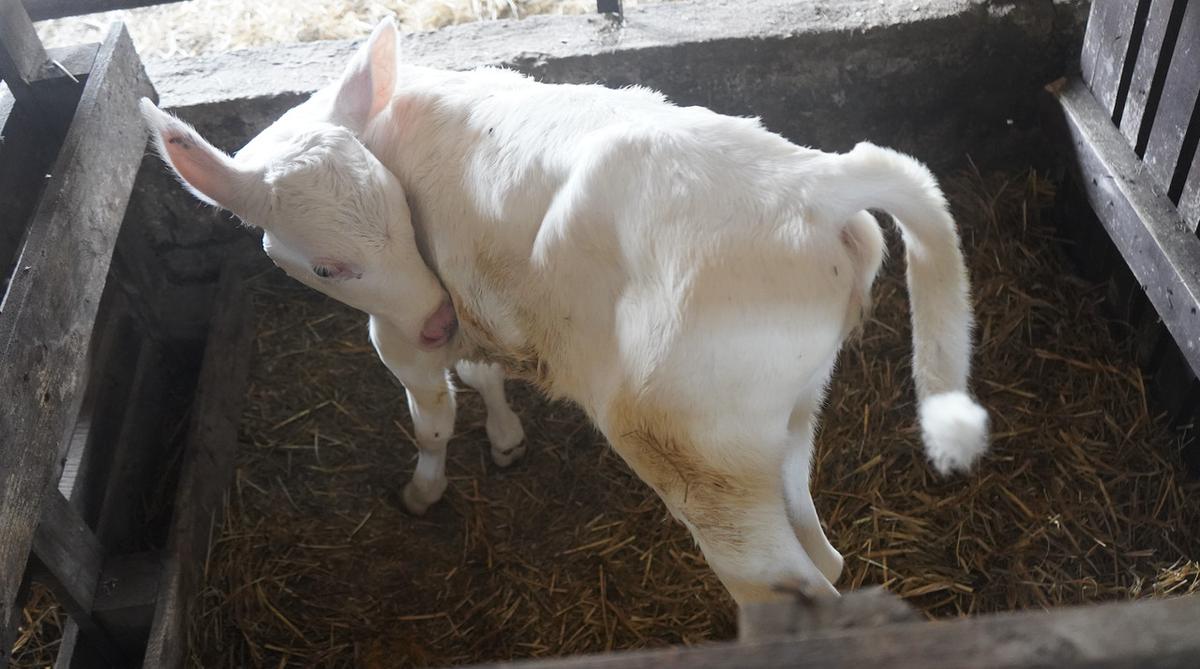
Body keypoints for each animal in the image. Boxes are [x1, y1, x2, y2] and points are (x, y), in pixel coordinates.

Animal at [142, 19, 984, 609]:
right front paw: (507, 437)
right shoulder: (470, 300)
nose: (436, 320)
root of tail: (811, 180)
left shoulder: (401, 331)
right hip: (781, 415)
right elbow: (484, 371)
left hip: (690, 449)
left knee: (783, 578)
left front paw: (423, 490)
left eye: (395, 221)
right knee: (819, 542)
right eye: (329, 260)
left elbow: (432, 418)